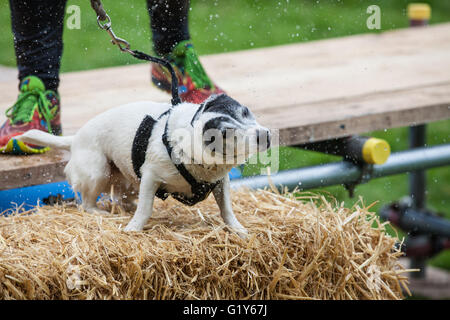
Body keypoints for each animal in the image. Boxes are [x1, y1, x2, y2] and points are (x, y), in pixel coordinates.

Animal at [15, 93, 270, 238]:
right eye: (226, 133)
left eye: (246, 111)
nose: (265, 135)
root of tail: (74, 139)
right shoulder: (151, 177)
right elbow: (146, 209)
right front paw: (134, 228)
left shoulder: (220, 182)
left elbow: (226, 209)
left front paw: (237, 229)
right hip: (98, 171)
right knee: (87, 204)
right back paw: (101, 212)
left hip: (128, 180)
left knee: (121, 198)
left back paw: (127, 206)